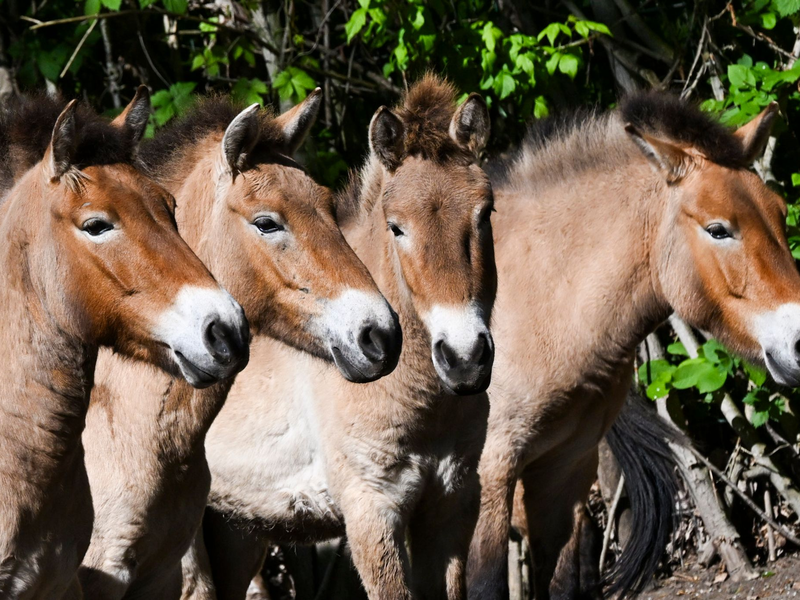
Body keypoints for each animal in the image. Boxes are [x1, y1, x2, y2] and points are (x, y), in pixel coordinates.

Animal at [181, 75, 495, 600]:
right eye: (397, 228)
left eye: (485, 214)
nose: (465, 357)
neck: (424, 402)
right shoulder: (372, 514)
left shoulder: (452, 505)